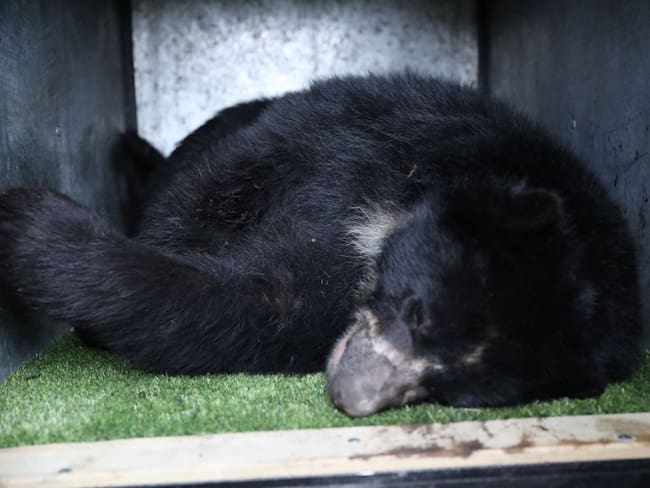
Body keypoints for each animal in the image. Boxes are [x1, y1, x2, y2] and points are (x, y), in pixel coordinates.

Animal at [0, 73, 642, 417]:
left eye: (449, 394)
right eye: (417, 310)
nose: (347, 393)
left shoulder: (327, 306)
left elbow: (257, 306)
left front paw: (39, 234)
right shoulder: (391, 128)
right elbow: (225, 183)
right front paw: (29, 218)